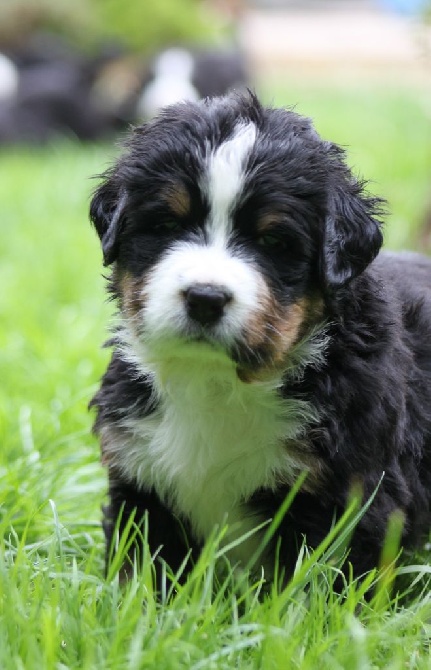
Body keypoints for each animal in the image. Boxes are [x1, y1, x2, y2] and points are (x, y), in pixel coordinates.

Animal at [89, 90, 431, 588]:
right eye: (166, 226)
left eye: (273, 241)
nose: (205, 297)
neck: (218, 384)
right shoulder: (141, 480)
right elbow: (143, 577)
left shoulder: (351, 498)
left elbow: (316, 592)